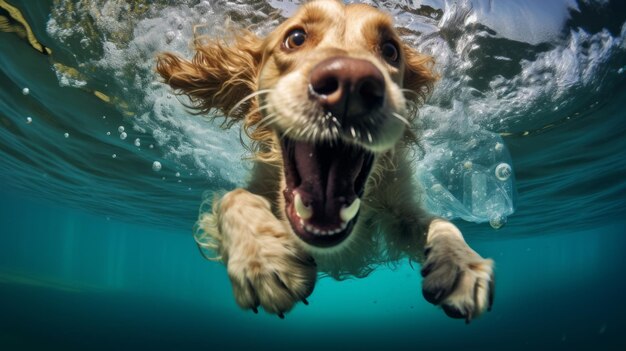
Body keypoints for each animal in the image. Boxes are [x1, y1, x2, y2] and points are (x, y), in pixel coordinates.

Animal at [156, 0, 492, 324]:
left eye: (390, 50)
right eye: (296, 38)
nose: (351, 82)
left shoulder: (401, 214)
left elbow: (441, 222)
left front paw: (462, 264)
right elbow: (233, 197)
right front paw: (263, 258)